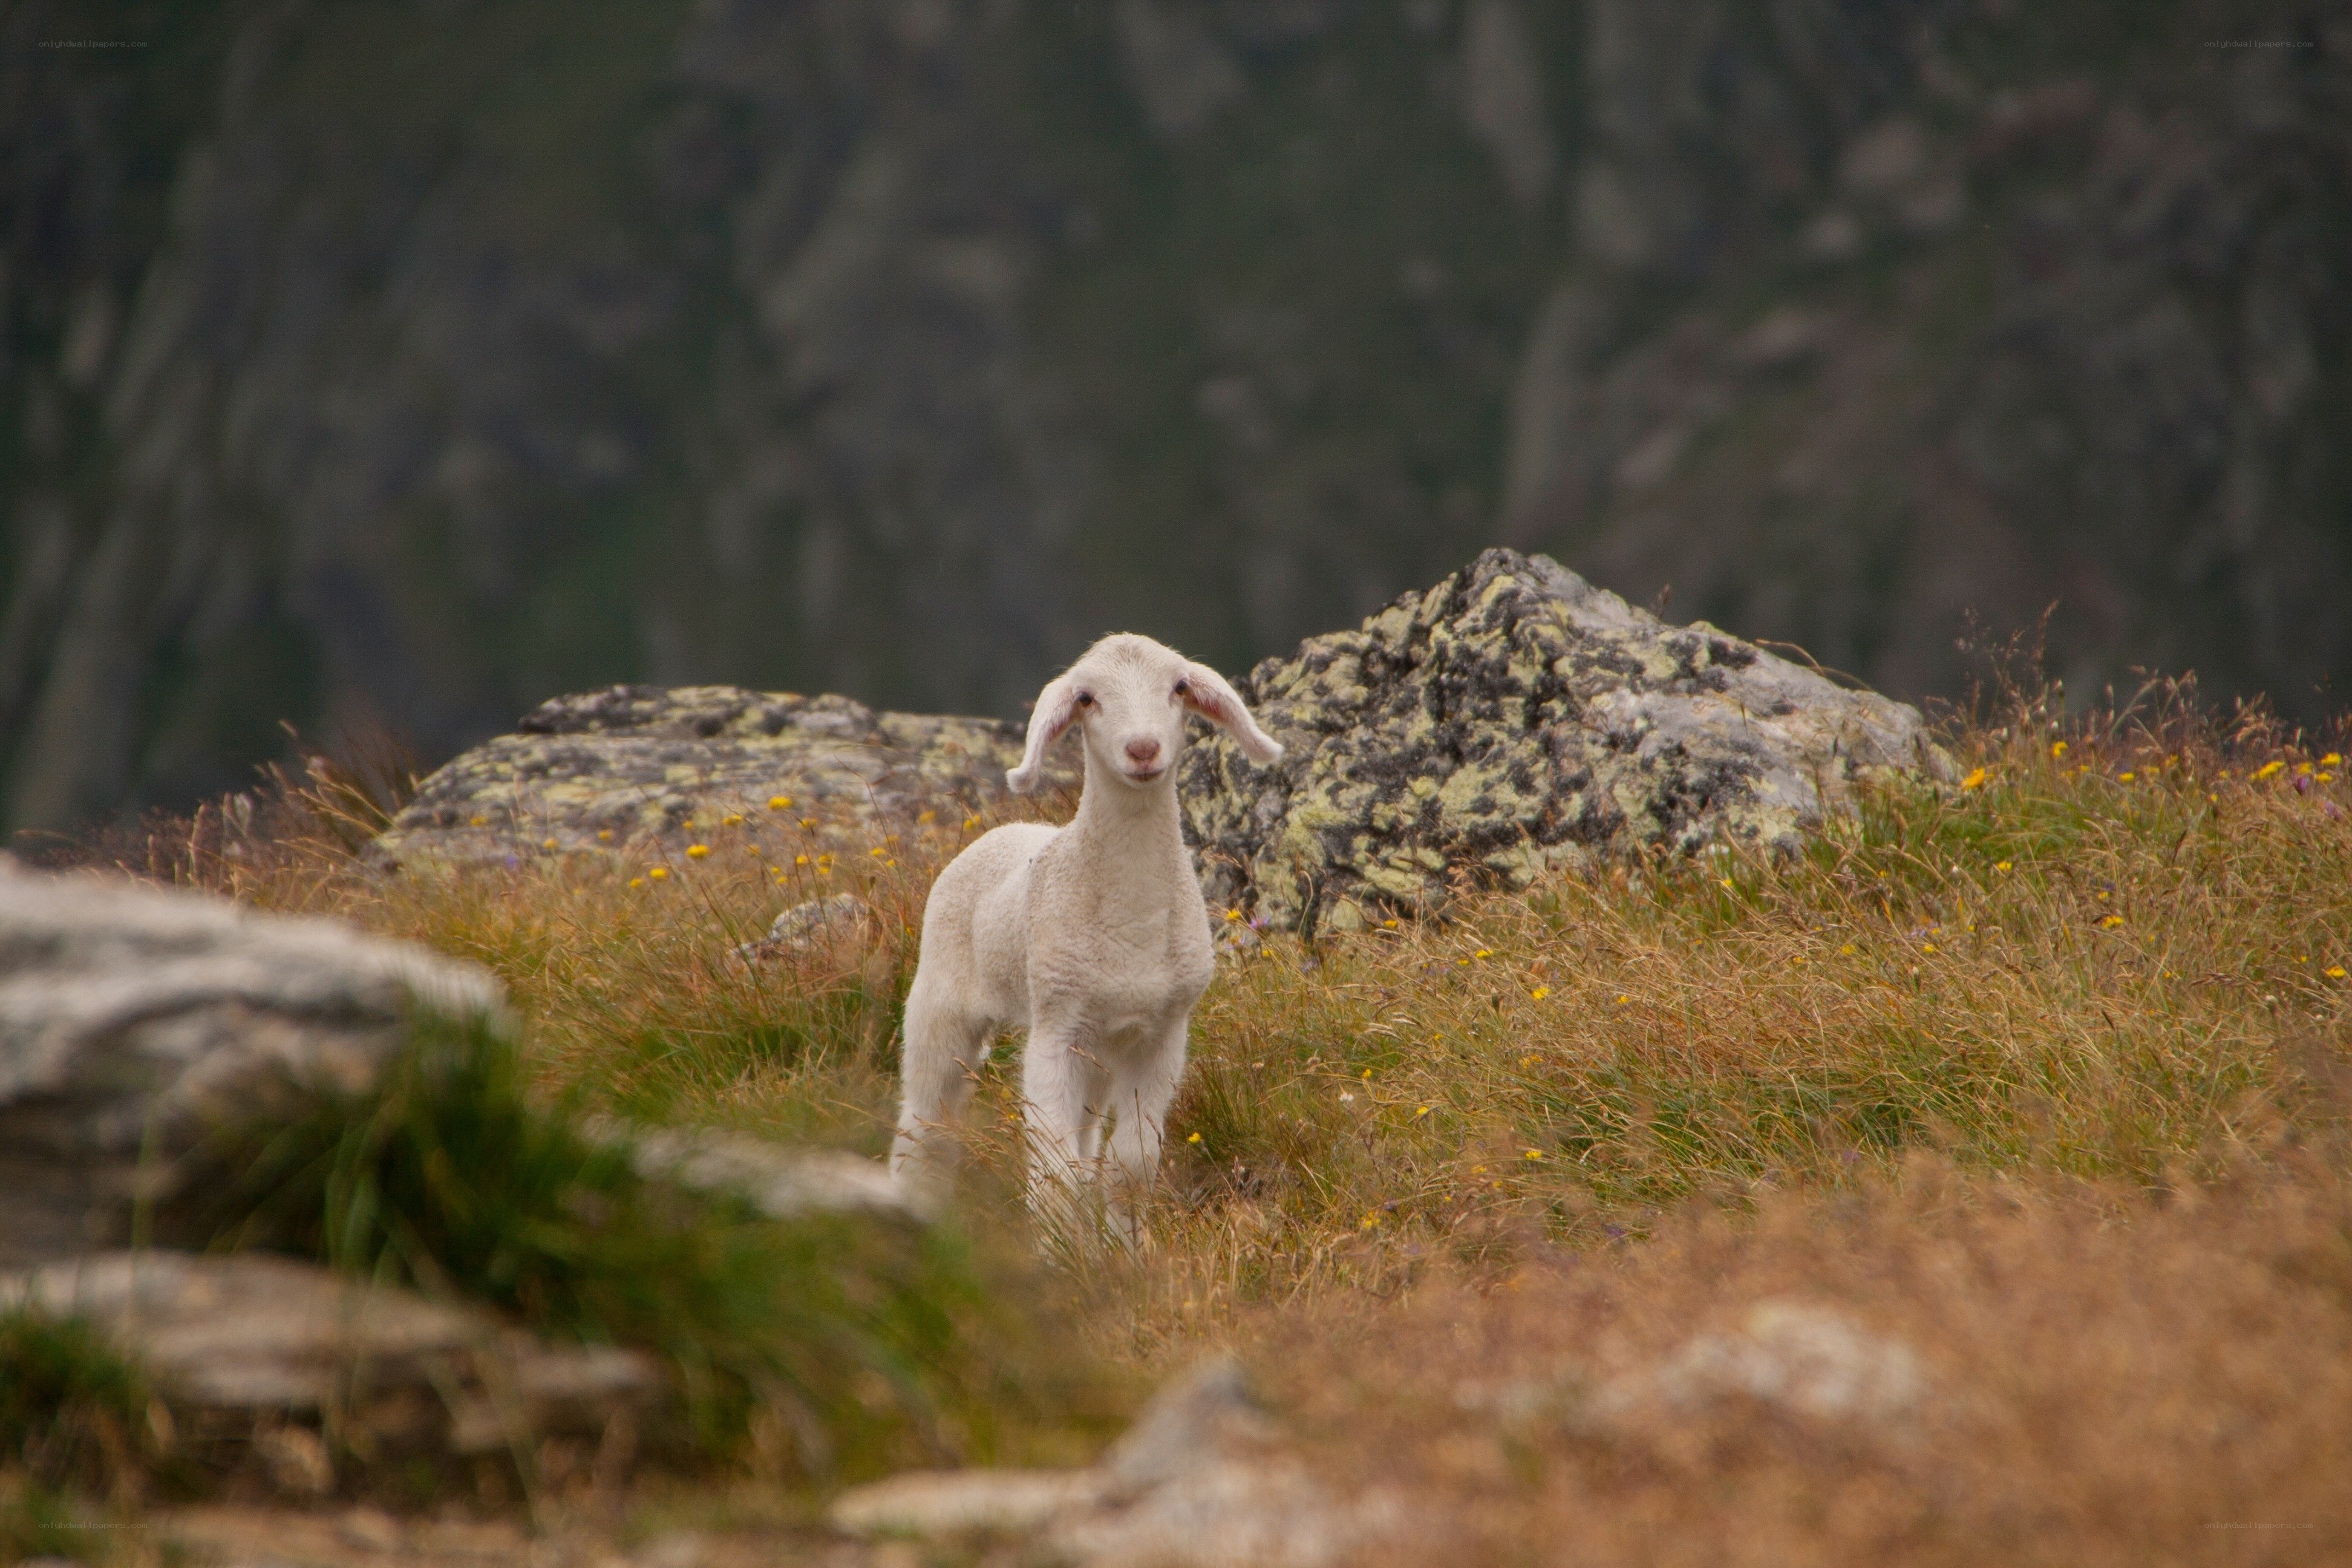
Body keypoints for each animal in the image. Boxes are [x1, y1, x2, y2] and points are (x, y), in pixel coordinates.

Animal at [889, 633, 1284, 1237]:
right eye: (1086, 698)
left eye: (1179, 687)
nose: (1143, 749)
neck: (1134, 922)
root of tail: (1003, 830)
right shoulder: (1055, 1031)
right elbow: (1057, 1177)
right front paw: (1062, 1249)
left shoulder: (1162, 1034)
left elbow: (1131, 1166)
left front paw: (1122, 1247)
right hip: (941, 1004)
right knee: (924, 1122)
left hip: (1098, 1050)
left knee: (1084, 1136)